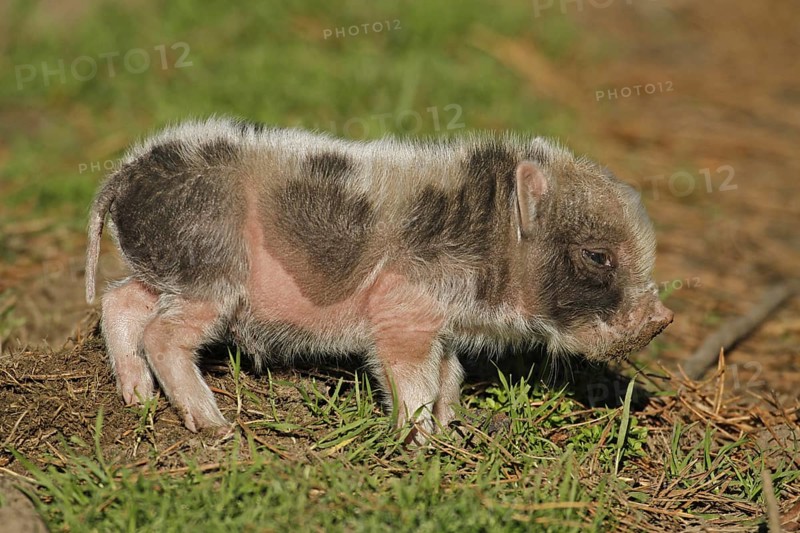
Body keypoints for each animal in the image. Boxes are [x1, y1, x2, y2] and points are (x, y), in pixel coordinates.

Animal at [85, 117, 673, 435]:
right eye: (597, 256)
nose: (662, 317)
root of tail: (124, 172)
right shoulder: (402, 310)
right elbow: (410, 379)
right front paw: (423, 443)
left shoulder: (442, 326)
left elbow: (449, 374)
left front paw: (452, 426)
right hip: (208, 271)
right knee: (162, 335)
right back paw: (216, 425)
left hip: (168, 273)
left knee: (119, 300)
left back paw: (137, 399)